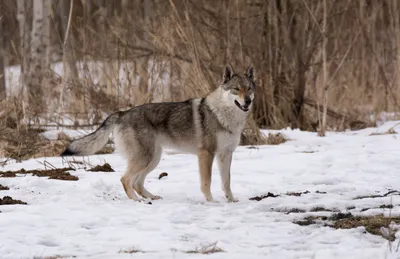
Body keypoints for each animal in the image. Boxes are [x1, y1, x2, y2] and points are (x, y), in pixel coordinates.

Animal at [61, 64, 256, 203]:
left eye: (249, 89)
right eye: (236, 89)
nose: (247, 101)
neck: (224, 115)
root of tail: (123, 113)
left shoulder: (226, 154)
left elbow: (226, 181)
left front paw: (231, 200)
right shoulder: (206, 154)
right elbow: (206, 182)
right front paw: (211, 202)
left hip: (152, 159)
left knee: (137, 182)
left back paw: (150, 197)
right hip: (145, 159)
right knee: (125, 179)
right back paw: (136, 201)